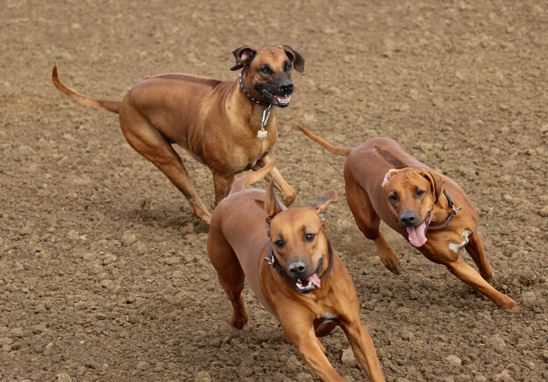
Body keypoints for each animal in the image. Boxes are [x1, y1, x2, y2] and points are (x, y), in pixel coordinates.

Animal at [51, 44, 304, 224]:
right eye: (265, 69)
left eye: (287, 65)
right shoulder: (222, 175)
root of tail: (123, 101)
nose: (287, 87)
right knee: (199, 207)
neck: (255, 114)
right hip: (167, 159)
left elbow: (290, 193)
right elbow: (221, 204)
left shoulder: (263, 160)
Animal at [207, 157, 386, 380]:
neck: (317, 293)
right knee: (235, 296)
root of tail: (236, 193)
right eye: (279, 242)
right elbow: (330, 372)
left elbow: (373, 368)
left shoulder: (356, 328)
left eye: (309, 236)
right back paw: (239, 320)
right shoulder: (304, 340)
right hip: (229, 272)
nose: (297, 268)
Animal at [300, 125, 520, 310]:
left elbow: (483, 266)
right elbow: (481, 284)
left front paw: (493, 281)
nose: (407, 219)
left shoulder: (472, 234)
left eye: (419, 192)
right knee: (374, 234)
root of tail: (354, 149)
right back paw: (390, 259)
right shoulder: (452, 263)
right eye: (393, 196)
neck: (444, 221)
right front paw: (510, 304)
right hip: (363, 216)